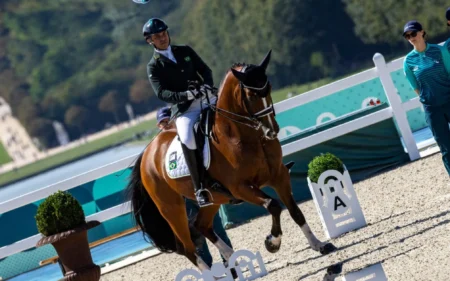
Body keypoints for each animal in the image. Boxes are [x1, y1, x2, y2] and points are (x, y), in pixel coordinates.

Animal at [125, 49, 336, 272]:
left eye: (269, 87)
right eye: (251, 95)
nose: (272, 130)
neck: (245, 136)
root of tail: (147, 153)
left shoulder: (279, 176)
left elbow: (295, 211)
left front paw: (319, 245)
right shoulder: (240, 187)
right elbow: (273, 205)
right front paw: (272, 243)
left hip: (214, 199)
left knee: (201, 225)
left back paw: (233, 259)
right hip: (172, 208)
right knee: (186, 246)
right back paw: (211, 273)